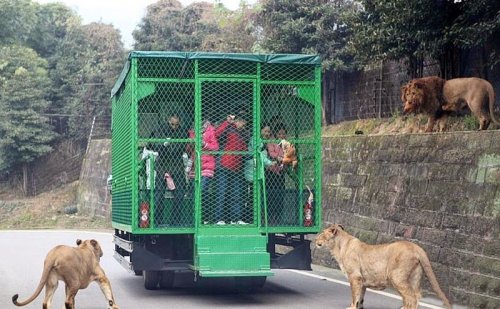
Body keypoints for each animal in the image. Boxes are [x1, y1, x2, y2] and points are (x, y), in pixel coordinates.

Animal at [316, 224, 454, 308]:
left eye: (322, 233)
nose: (316, 239)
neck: (339, 247)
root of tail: (416, 247)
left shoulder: (355, 277)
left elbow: (354, 296)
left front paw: (351, 307)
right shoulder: (362, 281)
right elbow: (360, 297)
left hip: (396, 277)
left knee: (411, 298)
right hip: (414, 277)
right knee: (416, 296)